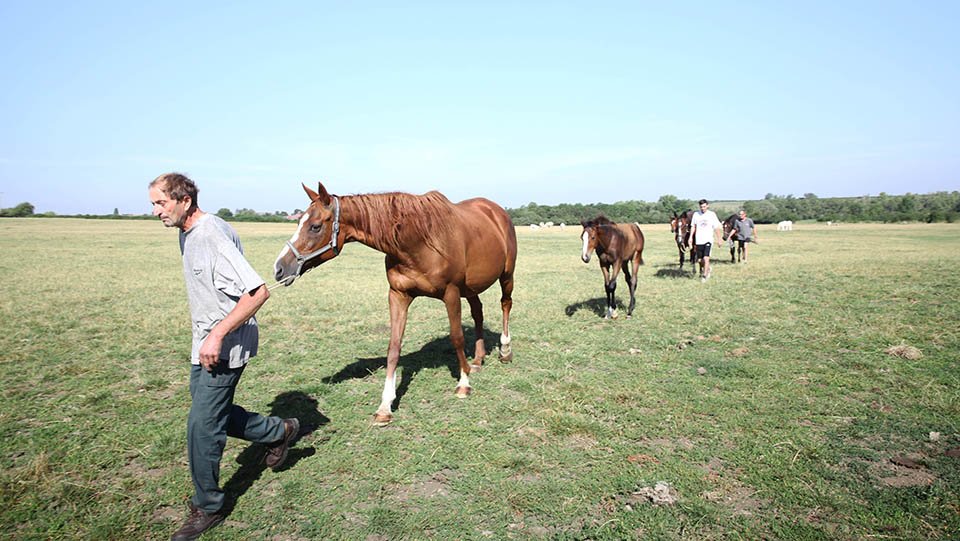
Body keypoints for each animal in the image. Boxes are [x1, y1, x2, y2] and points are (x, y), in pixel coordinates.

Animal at [274, 182, 517, 425]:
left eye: (315, 227)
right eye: (299, 221)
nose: (279, 269)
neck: (420, 241)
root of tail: (496, 211)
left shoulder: (451, 293)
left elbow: (456, 337)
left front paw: (463, 383)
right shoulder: (398, 295)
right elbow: (394, 347)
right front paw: (385, 406)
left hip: (505, 277)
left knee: (505, 304)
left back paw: (505, 351)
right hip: (471, 288)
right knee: (478, 312)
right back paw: (477, 359)